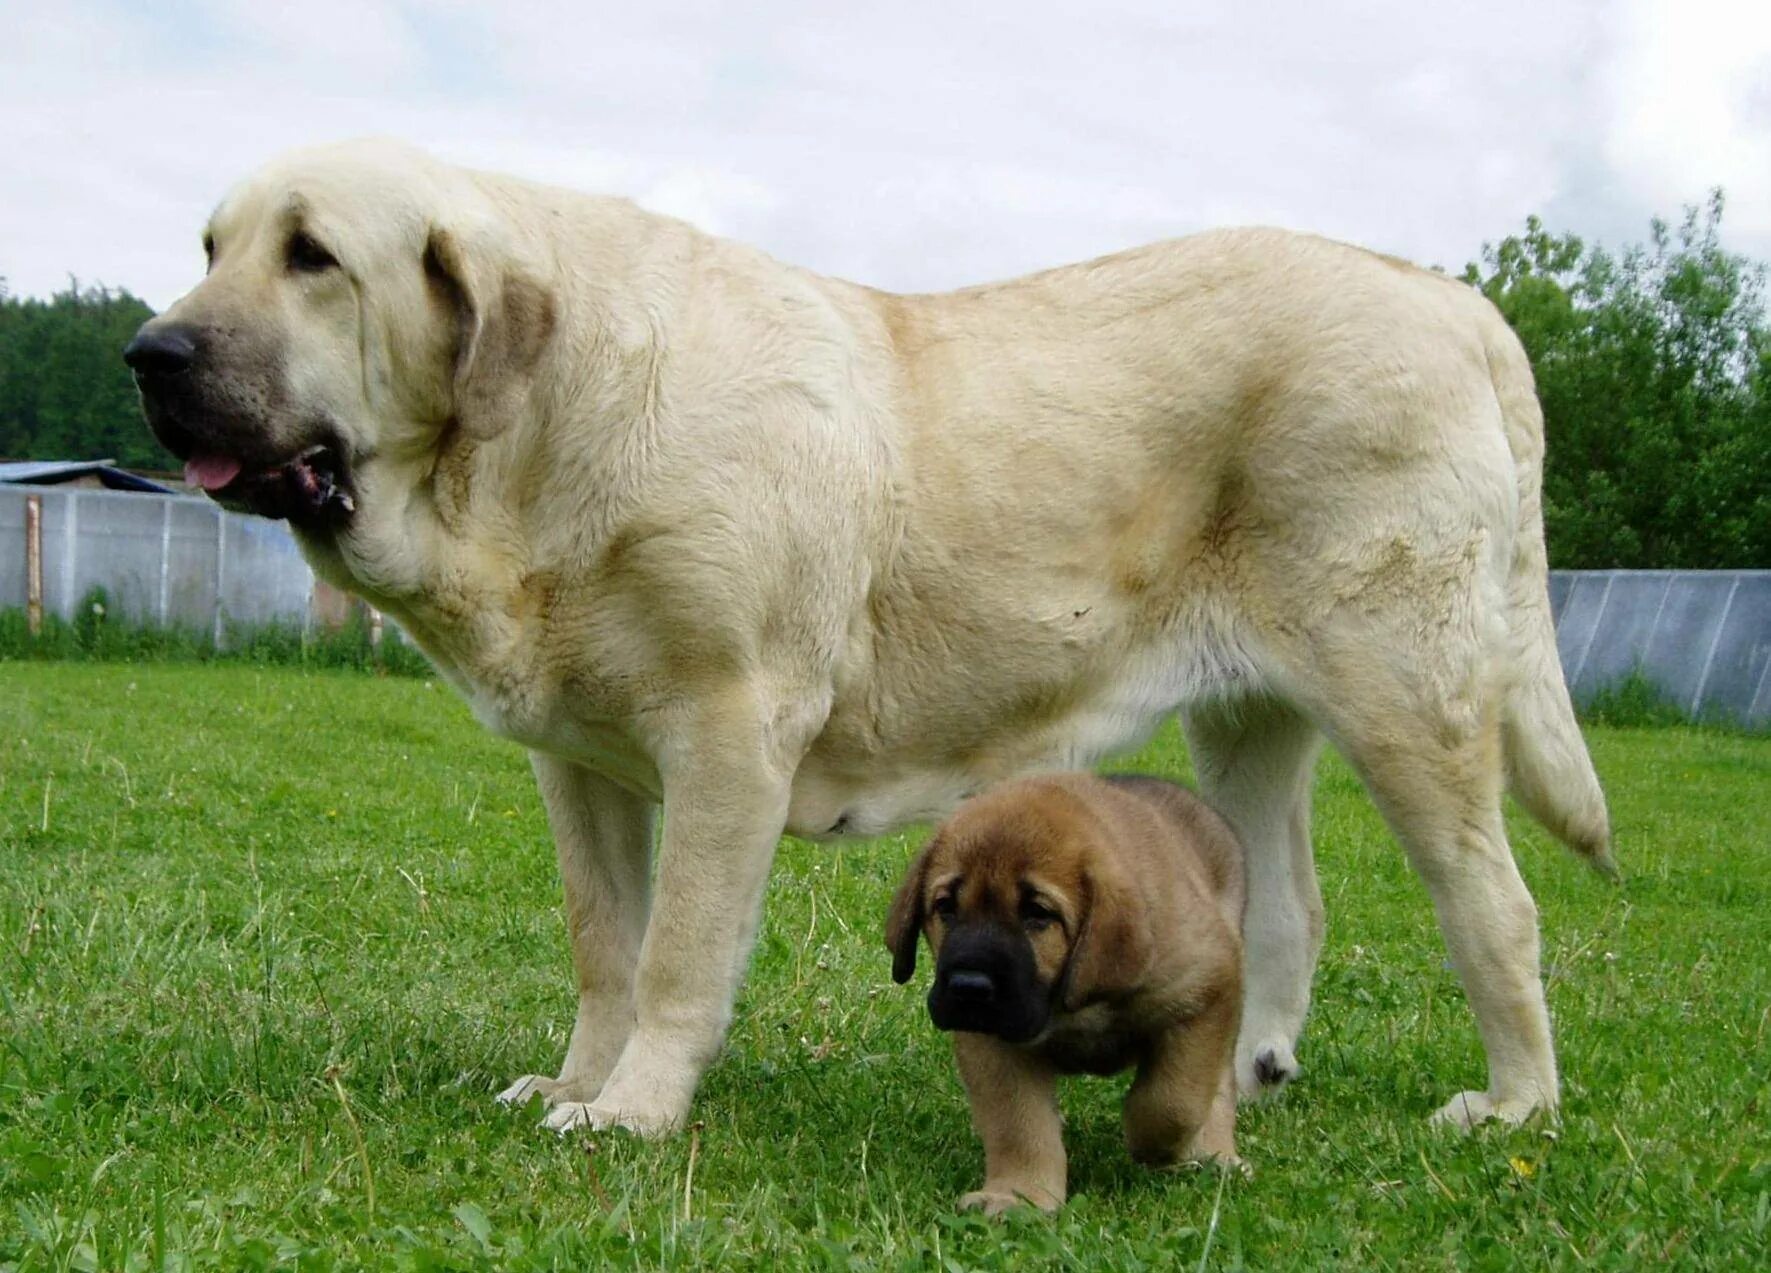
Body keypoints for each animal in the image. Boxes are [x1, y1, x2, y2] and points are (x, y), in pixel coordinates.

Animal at [131, 144, 1615, 1140]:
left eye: (312, 256)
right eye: (208, 247)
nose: (154, 351)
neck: (538, 432)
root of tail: (1453, 303)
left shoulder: (727, 729)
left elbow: (675, 953)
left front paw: (630, 1113)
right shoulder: (585, 766)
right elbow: (604, 942)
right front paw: (574, 1079)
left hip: (1404, 695)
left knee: (1494, 906)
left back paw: (1514, 1106)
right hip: (1249, 719)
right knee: (1288, 906)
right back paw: (1242, 1074)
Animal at [885, 771, 1246, 1211]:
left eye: (1037, 914)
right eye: (945, 907)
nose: (967, 987)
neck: (1071, 1004)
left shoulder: (1206, 989)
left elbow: (1171, 1100)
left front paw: (1156, 1147)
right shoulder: (994, 1045)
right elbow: (1018, 1125)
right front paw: (1016, 1194)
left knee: (1218, 1086)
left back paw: (1216, 1155)